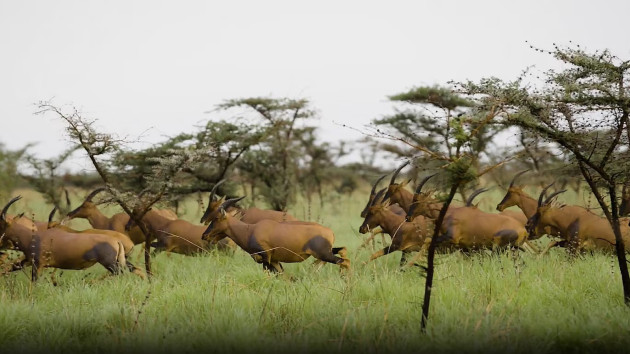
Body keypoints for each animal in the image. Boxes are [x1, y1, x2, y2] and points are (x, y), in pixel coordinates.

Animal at [202, 196, 350, 274]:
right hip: (325, 253)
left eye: (216, 218)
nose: (204, 236)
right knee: (342, 251)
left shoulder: (266, 259)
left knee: (344, 262)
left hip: (324, 254)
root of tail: (330, 231)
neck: (251, 230)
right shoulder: (274, 261)